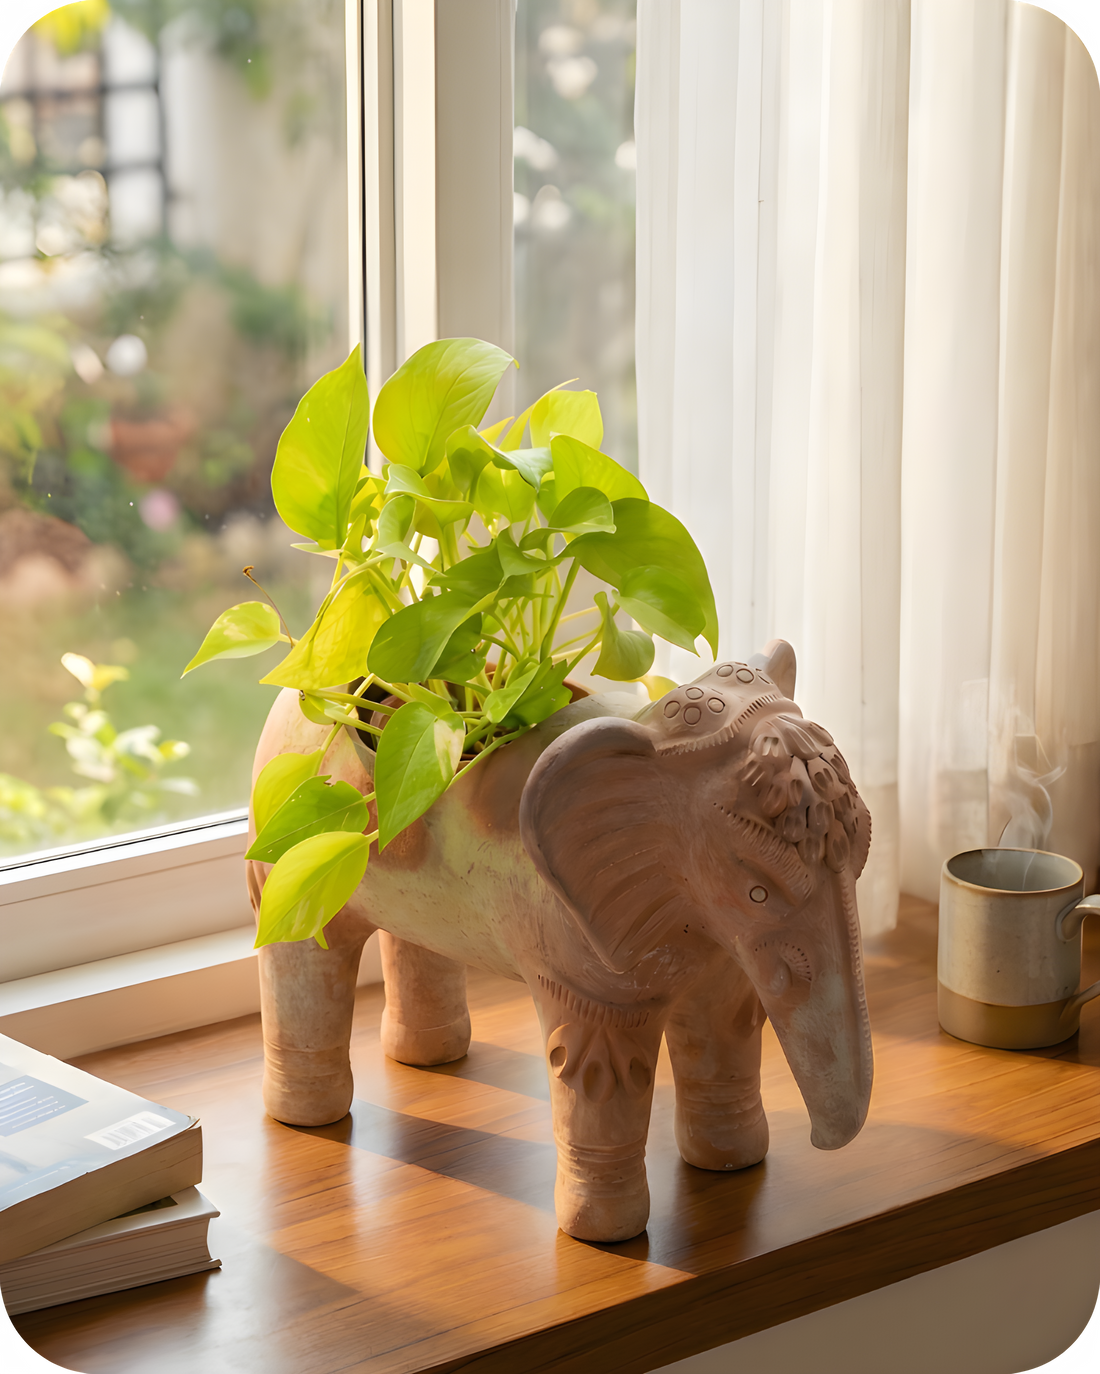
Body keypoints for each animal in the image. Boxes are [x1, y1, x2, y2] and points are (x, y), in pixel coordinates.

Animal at [246, 639, 874, 1243]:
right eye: (757, 892)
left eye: (864, 850)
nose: (823, 1144)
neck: (650, 735)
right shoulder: (572, 949)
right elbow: (599, 1066)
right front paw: (604, 1236)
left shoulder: (706, 936)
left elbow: (724, 1024)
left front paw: (733, 1163)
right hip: (291, 869)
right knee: (302, 964)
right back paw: (307, 1117)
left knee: (416, 941)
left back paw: (429, 1056)